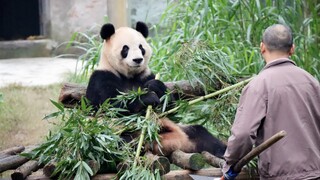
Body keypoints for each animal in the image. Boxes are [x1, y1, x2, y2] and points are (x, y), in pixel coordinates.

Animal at [85, 22, 225, 159]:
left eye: (141, 47)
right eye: (125, 48)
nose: (138, 60)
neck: (129, 76)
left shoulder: (145, 75)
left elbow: (171, 110)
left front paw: (156, 87)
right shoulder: (102, 77)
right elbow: (110, 107)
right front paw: (147, 98)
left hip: (183, 131)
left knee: (201, 135)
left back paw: (222, 153)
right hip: (113, 136)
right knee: (116, 143)